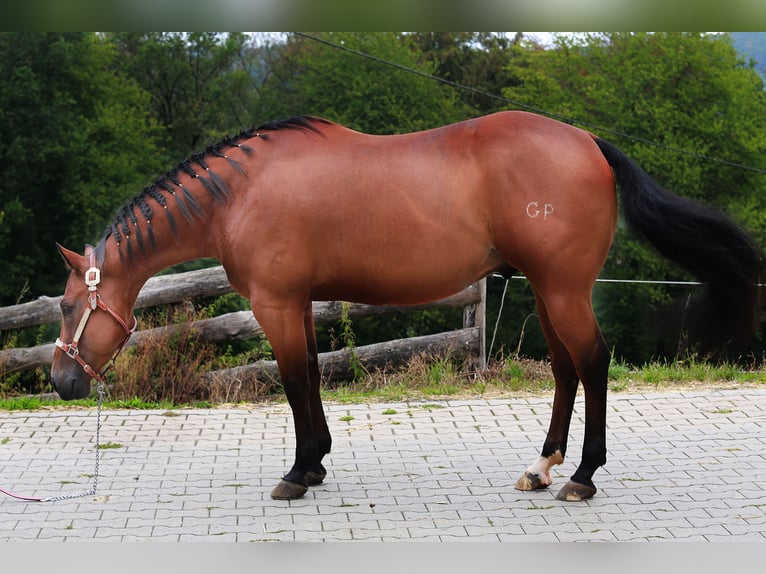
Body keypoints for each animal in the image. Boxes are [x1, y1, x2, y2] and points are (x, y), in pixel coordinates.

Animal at [51, 111, 764, 502]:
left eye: (65, 305)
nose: (61, 381)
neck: (241, 193)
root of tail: (587, 141)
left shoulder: (276, 304)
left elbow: (293, 381)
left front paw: (298, 470)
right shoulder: (299, 303)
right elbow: (313, 377)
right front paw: (316, 463)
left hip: (562, 290)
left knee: (592, 363)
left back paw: (583, 476)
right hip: (546, 289)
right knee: (566, 370)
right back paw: (541, 467)